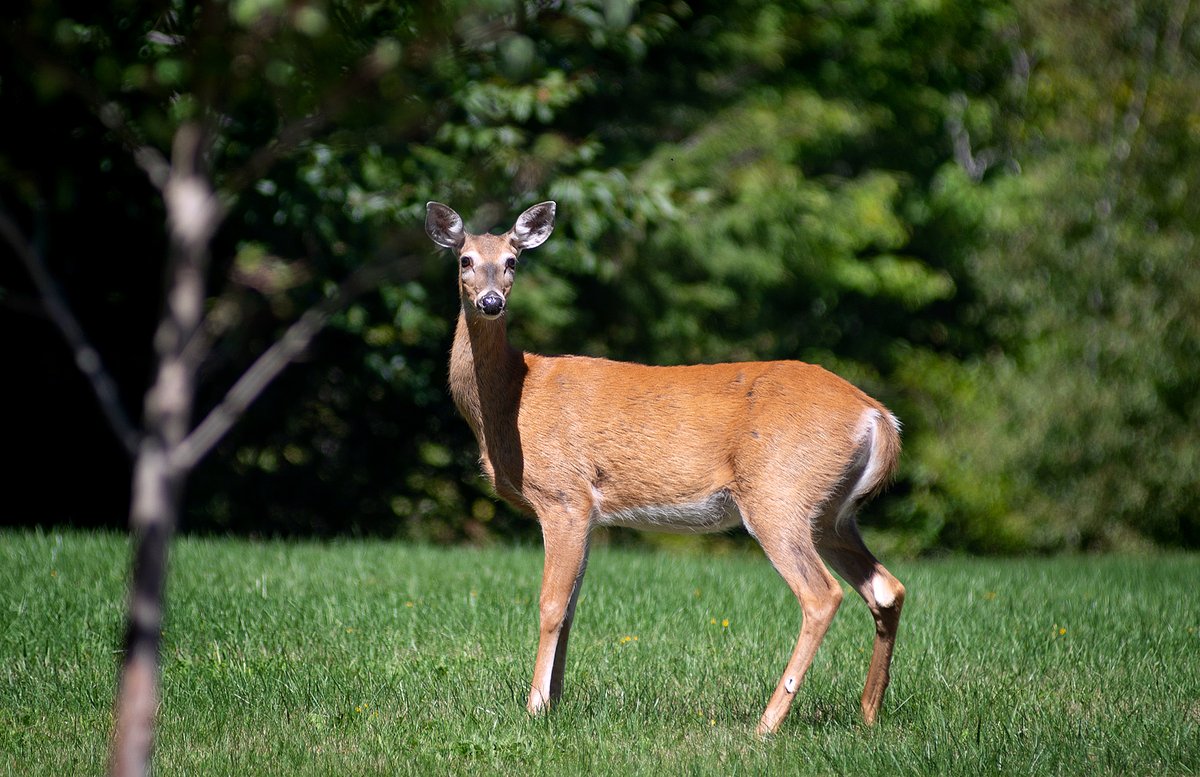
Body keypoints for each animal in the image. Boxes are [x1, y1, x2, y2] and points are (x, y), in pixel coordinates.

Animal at [425, 200, 905, 735]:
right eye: (465, 260)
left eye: (512, 261)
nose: (491, 302)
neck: (513, 397)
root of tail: (878, 416)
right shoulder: (589, 511)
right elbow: (571, 607)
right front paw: (555, 703)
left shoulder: (563, 495)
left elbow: (551, 604)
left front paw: (534, 708)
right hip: (832, 512)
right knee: (887, 588)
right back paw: (868, 715)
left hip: (779, 492)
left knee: (822, 595)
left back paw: (766, 724)